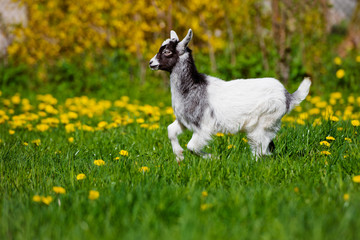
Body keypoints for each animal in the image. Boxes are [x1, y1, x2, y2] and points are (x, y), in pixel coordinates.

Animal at [148, 29, 310, 162]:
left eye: (167, 52)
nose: (151, 63)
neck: (192, 87)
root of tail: (288, 96)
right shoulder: (185, 121)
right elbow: (170, 131)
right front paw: (179, 156)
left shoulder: (204, 126)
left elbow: (192, 147)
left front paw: (213, 157)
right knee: (266, 145)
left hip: (265, 120)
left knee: (261, 147)